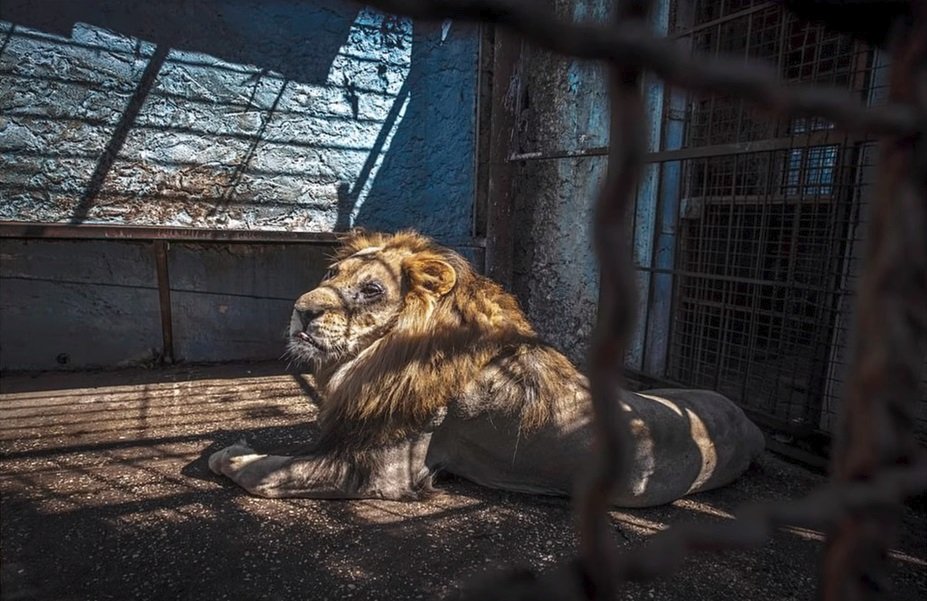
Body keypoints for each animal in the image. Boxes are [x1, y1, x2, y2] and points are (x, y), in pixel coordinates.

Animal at [212, 230, 768, 506]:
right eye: (331, 273)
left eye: (371, 289)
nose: (301, 310)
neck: (376, 355)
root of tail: (752, 423)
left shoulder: (385, 472)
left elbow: (270, 472)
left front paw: (231, 455)